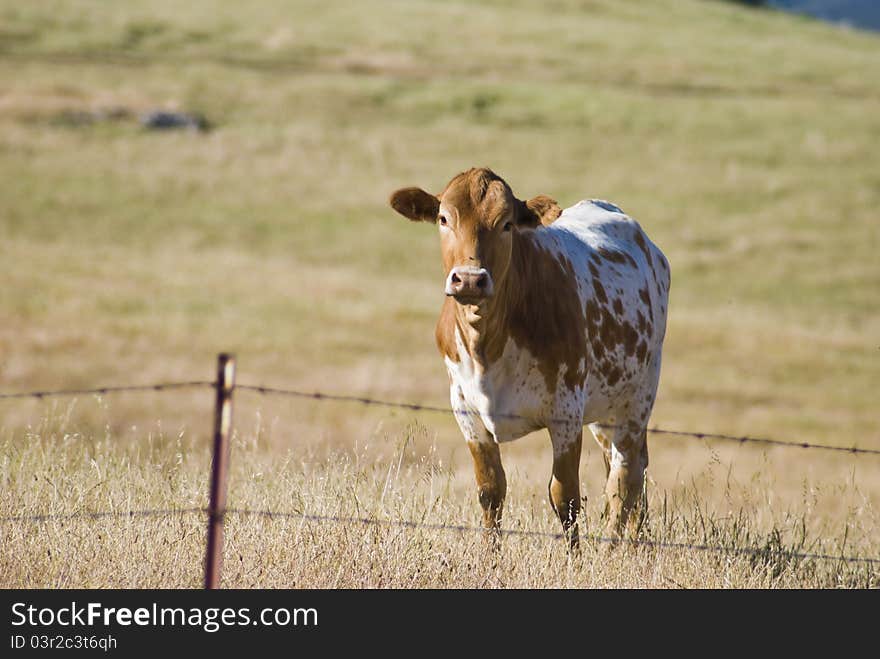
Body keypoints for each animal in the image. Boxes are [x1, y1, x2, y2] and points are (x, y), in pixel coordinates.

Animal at [388, 169, 672, 548]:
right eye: (444, 219)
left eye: (507, 224)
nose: (470, 280)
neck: (487, 345)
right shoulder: (465, 410)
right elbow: (490, 491)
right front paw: (489, 556)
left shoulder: (566, 411)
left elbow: (565, 498)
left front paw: (575, 560)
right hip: (604, 413)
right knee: (625, 472)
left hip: (637, 399)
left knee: (624, 479)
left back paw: (614, 549)